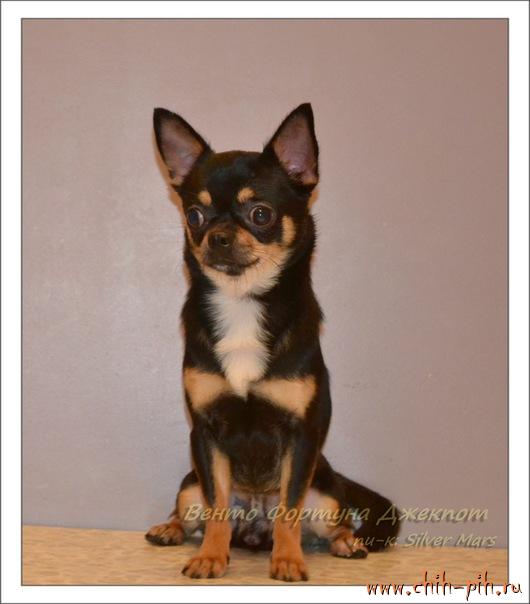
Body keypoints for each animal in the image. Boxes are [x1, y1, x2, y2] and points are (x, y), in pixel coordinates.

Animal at [145, 103, 399, 581]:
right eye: (195, 215)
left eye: (260, 214)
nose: (216, 236)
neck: (243, 302)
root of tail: (253, 530)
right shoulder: (205, 435)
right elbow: (217, 506)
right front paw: (210, 557)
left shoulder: (301, 437)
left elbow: (289, 509)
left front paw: (288, 560)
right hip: (190, 486)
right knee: (191, 509)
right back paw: (170, 529)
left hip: (325, 495)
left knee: (330, 519)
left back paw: (346, 543)